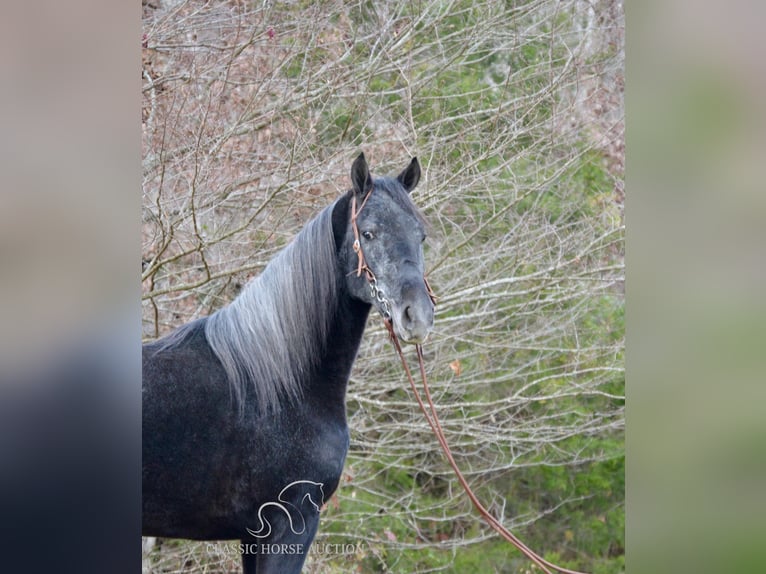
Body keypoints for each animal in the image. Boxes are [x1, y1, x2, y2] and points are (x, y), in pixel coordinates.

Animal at [142, 154, 436, 574]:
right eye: (368, 233)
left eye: (420, 235)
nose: (417, 316)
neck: (281, 386)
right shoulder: (290, 524)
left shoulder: (254, 535)